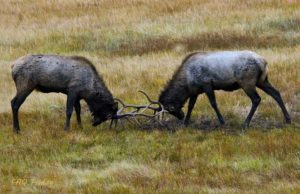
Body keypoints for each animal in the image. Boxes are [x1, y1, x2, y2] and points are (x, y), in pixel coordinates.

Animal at [158, 50, 292, 128]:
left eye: (170, 110)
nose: (181, 116)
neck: (187, 81)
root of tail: (263, 62)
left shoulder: (207, 84)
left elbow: (213, 103)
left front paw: (222, 122)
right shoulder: (195, 91)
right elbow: (191, 105)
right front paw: (186, 123)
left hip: (247, 82)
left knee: (256, 99)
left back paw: (246, 123)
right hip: (262, 80)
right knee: (276, 93)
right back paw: (288, 119)